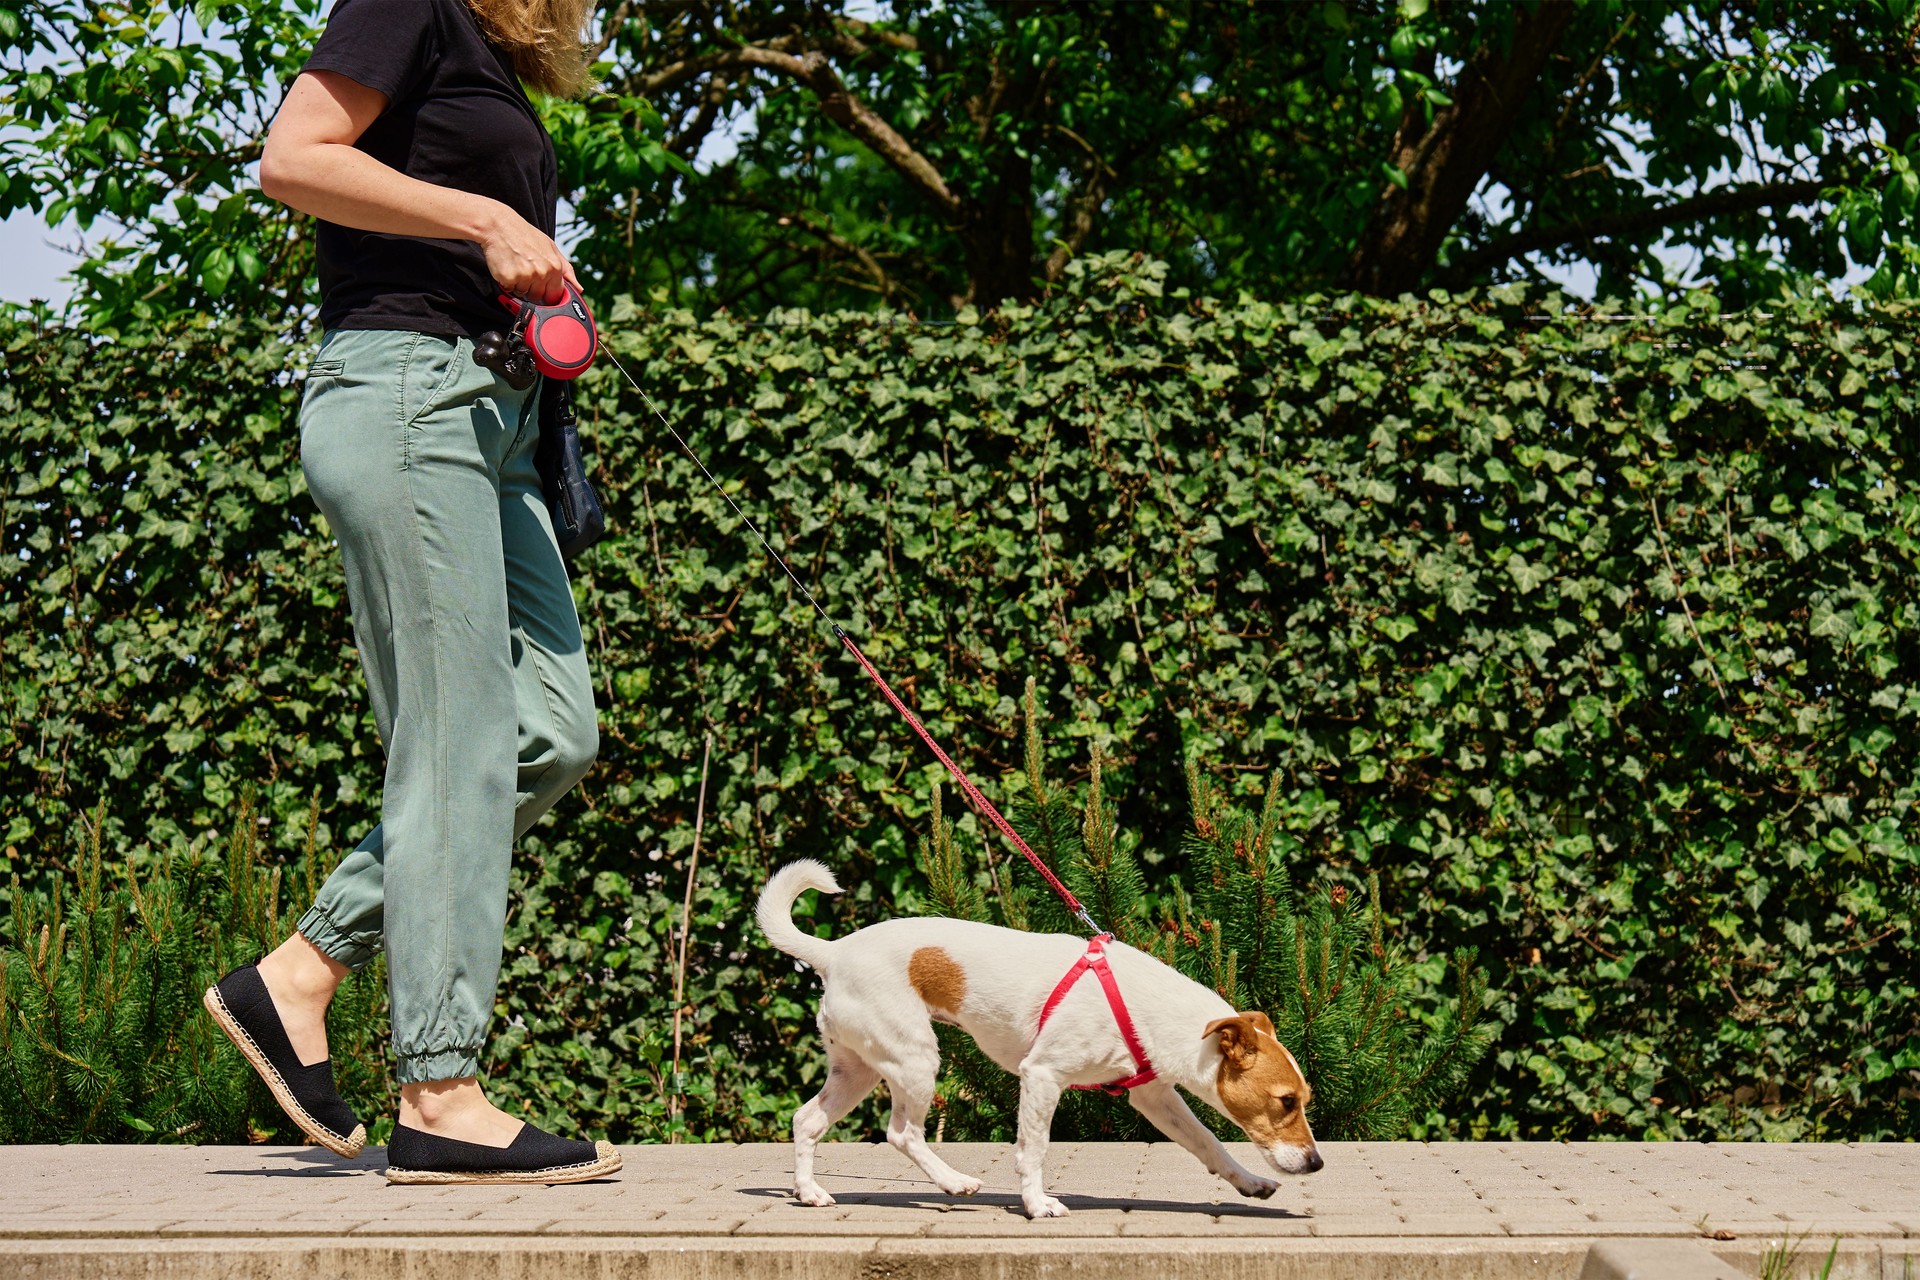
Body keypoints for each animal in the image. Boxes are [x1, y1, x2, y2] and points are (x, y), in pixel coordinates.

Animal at [752, 859, 1320, 1220]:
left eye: (1304, 1099)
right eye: (1284, 1102)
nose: (1316, 1164)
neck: (1150, 1005)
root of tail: (833, 952)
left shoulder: (1154, 1096)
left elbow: (1207, 1142)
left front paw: (1249, 1182)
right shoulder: (1042, 1077)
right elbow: (1034, 1150)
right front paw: (1035, 1203)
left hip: (859, 1068)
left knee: (807, 1120)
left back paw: (810, 1193)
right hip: (914, 1060)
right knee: (902, 1133)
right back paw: (954, 1182)